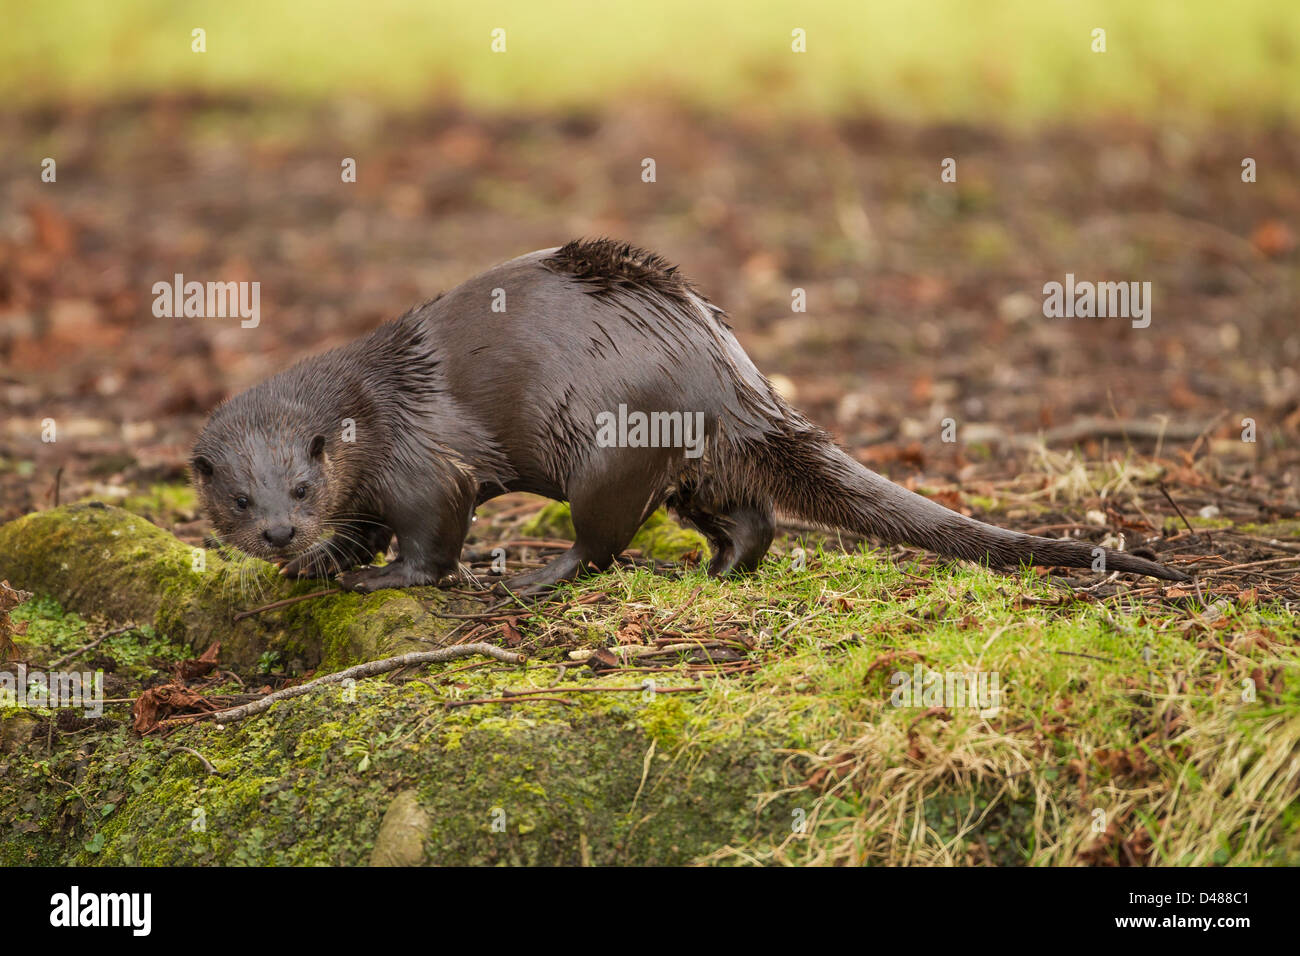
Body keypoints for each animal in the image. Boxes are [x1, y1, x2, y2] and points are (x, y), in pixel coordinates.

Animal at [192, 238, 1190, 590]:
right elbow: (359, 532)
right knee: (749, 514)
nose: (278, 531)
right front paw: (313, 569)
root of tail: (728, 366)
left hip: (608, 447)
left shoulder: (421, 463)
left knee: (602, 539)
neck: (366, 410)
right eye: (239, 499)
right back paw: (720, 569)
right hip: (689, 463)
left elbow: (431, 536)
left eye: (299, 483)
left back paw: (536, 579)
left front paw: (383, 580)